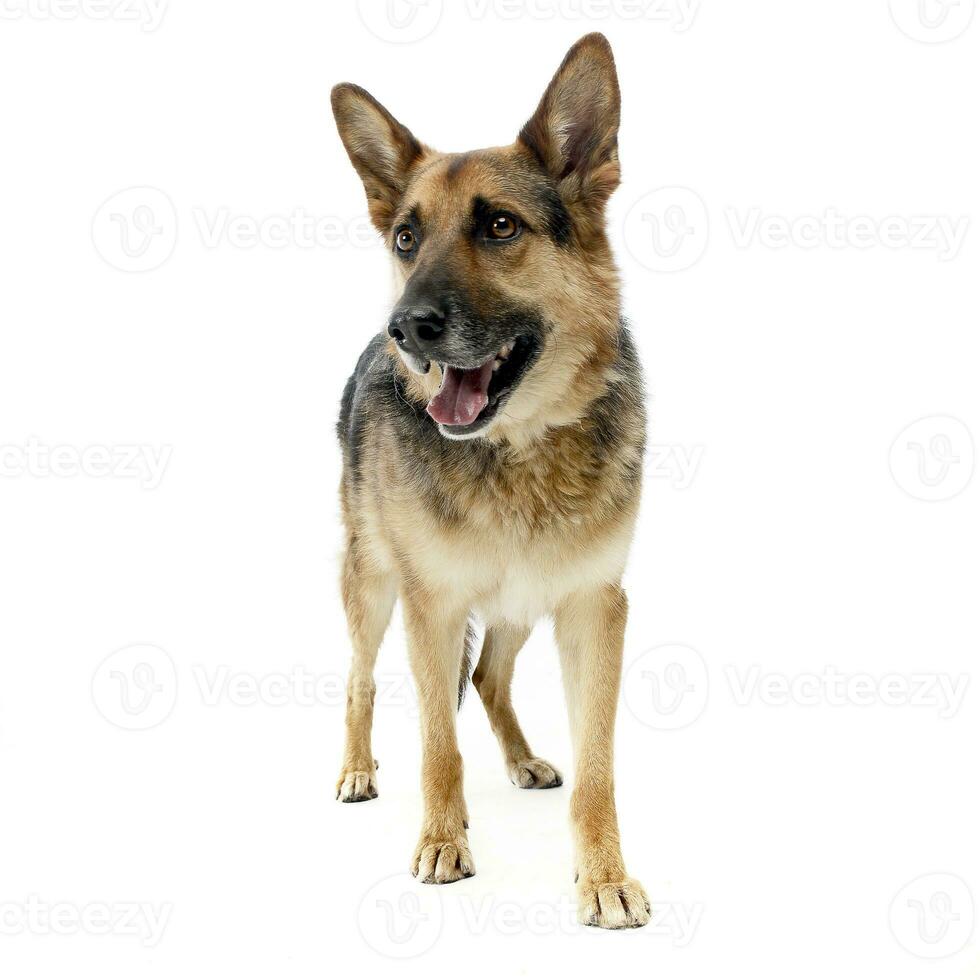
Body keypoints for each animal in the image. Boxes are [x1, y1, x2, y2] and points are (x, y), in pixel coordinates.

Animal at [332, 34, 652, 932]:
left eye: (500, 226)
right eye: (407, 237)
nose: (406, 328)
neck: (517, 453)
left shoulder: (593, 609)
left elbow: (599, 768)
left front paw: (603, 873)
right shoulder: (432, 606)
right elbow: (437, 746)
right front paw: (443, 840)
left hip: (517, 605)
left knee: (487, 676)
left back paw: (521, 761)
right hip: (372, 588)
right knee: (362, 678)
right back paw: (359, 769)